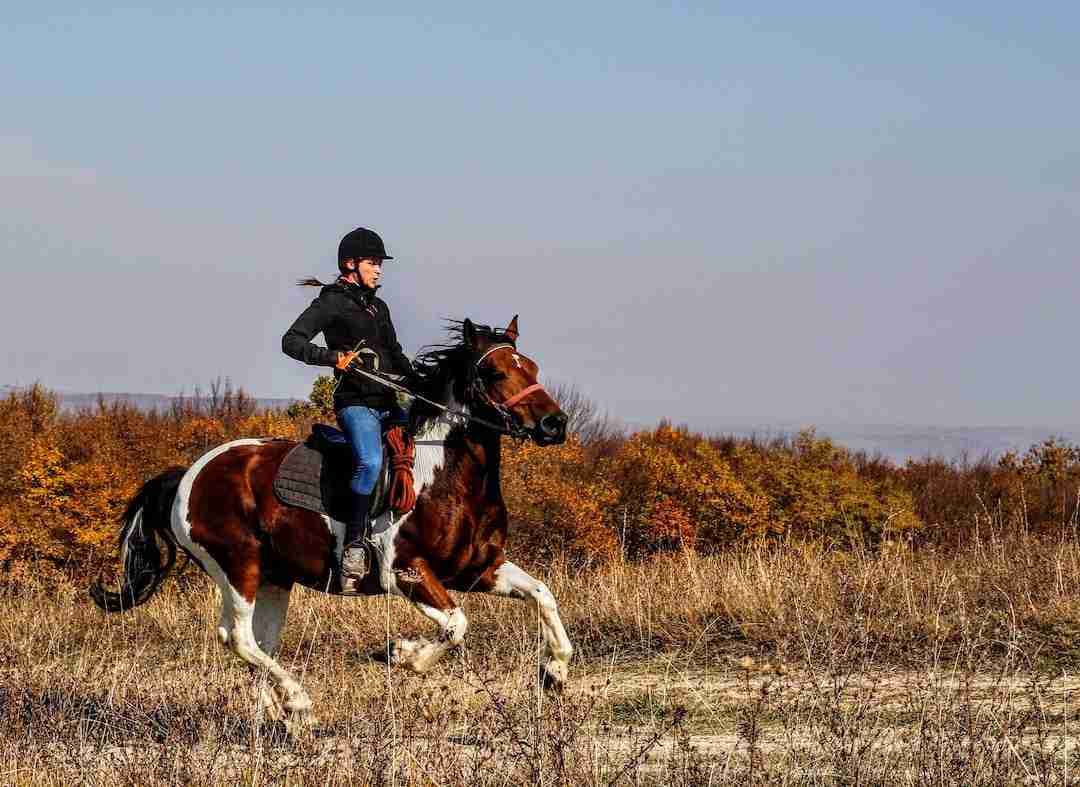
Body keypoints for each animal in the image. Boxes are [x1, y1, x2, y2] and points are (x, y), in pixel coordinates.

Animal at [90, 316, 573, 728]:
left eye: (531, 366)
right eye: (494, 372)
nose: (555, 424)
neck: (444, 473)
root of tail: (189, 473)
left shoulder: (478, 568)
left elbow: (542, 595)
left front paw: (554, 672)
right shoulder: (407, 571)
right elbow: (456, 625)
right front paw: (402, 654)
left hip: (274, 577)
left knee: (259, 642)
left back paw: (279, 713)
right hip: (237, 565)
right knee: (237, 636)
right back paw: (299, 702)